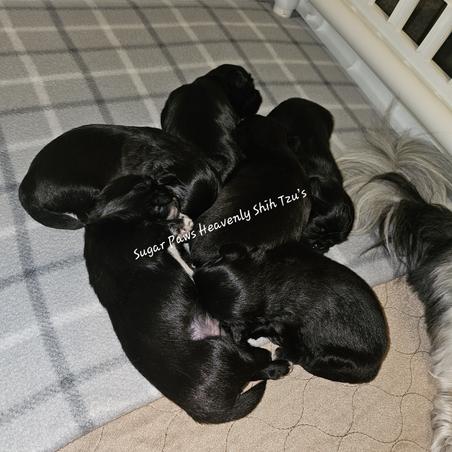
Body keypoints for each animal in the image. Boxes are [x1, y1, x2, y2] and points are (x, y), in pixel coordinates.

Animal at [83, 174, 290, 424]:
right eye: (147, 185)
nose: (172, 190)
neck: (111, 216)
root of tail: (205, 408)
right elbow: (163, 232)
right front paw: (181, 224)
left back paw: (278, 368)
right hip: (230, 352)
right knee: (257, 361)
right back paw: (279, 363)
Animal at [194, 242, 389, 384]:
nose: (195, 272)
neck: (266, 278)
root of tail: (376, 367)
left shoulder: (285, 323)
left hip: (330, 356)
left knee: (306, 358)